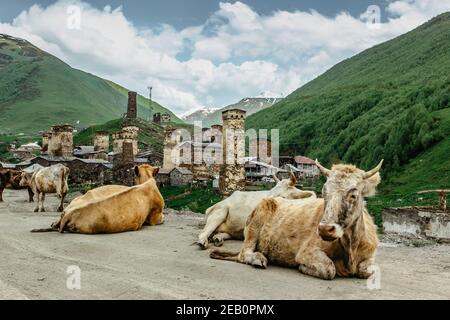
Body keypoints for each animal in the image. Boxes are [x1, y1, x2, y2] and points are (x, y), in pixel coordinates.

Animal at [211, 160, 384, 280]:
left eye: (353, 195)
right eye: (324, 192)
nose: (324, 229)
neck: (350, 249)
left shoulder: (370, 256)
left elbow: (369, 271)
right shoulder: (307, 252)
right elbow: (330, 269)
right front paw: (303, 268)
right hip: (255, 224)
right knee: (244, 253)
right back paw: (258, 258)